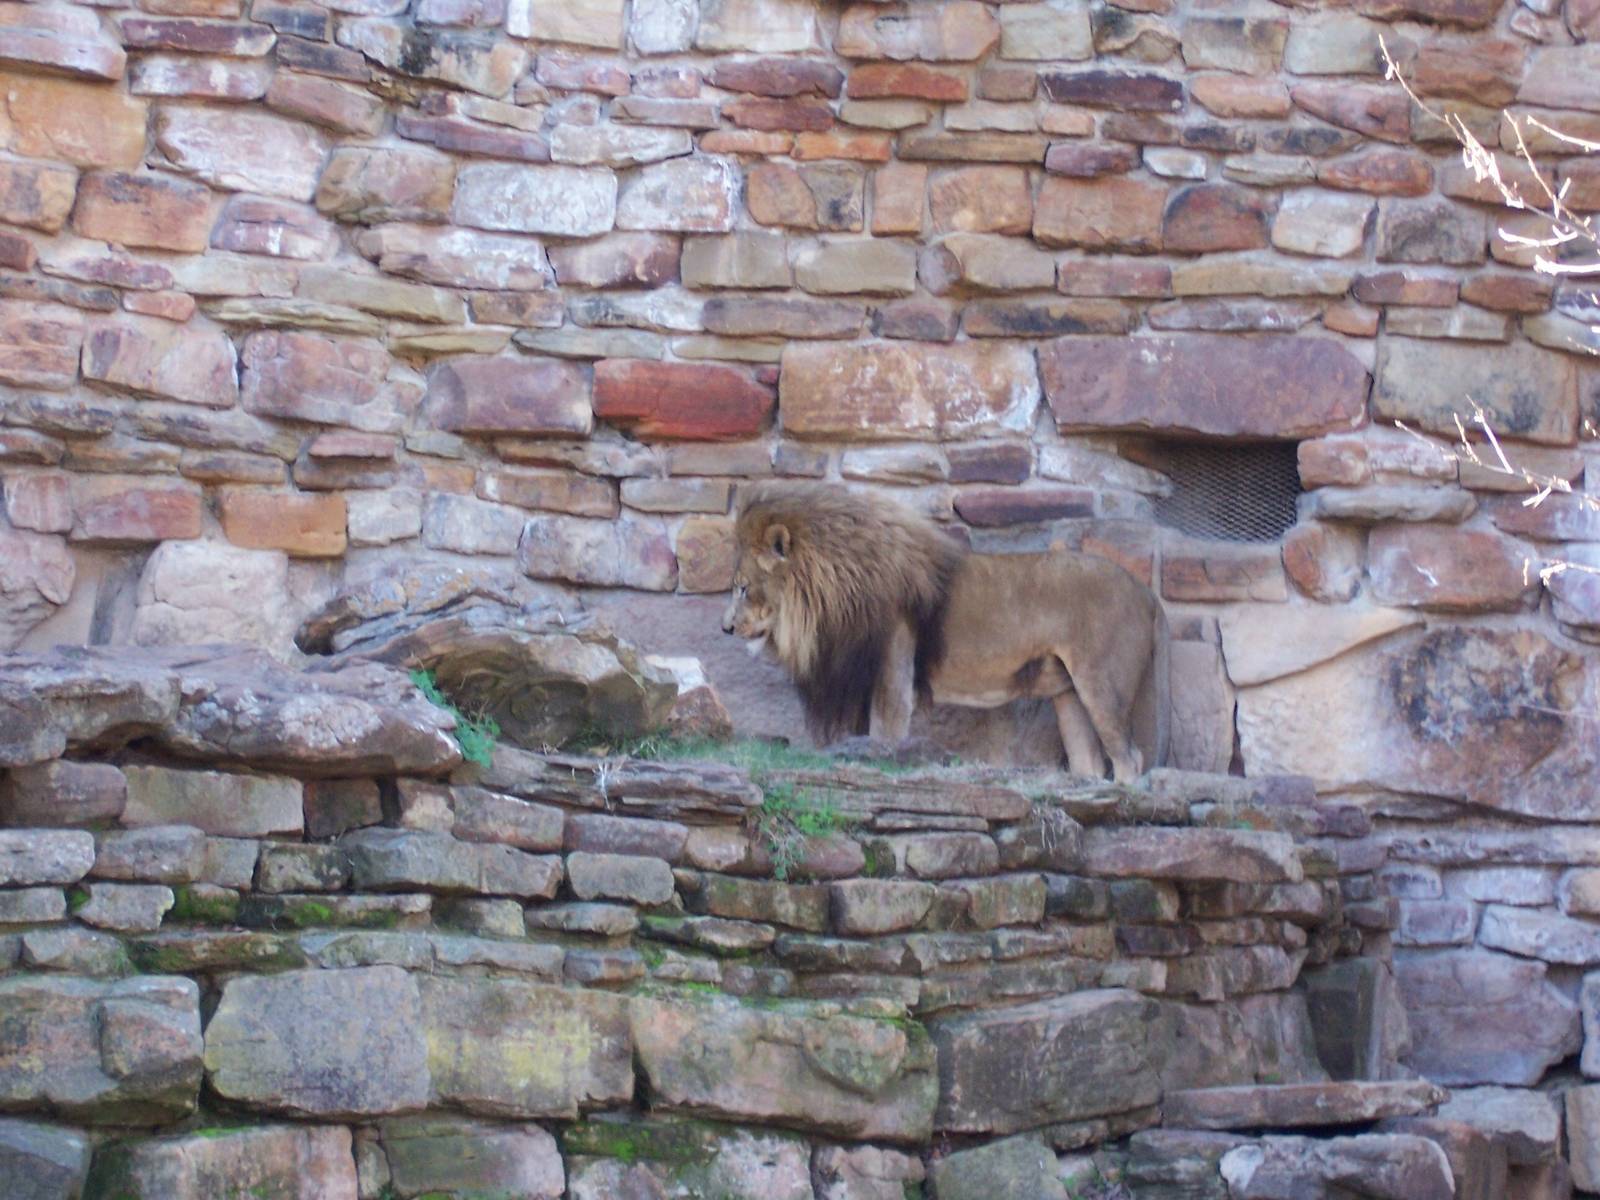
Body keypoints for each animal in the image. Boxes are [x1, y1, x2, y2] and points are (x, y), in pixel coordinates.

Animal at [722, 482, 1170, 782]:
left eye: (742, 587)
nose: (725, 627)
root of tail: (1147, 594)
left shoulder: (892, 672)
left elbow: (886, 734)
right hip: (1068, 693)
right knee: (1089, 762)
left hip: (1101, 685)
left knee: (1130, 759)